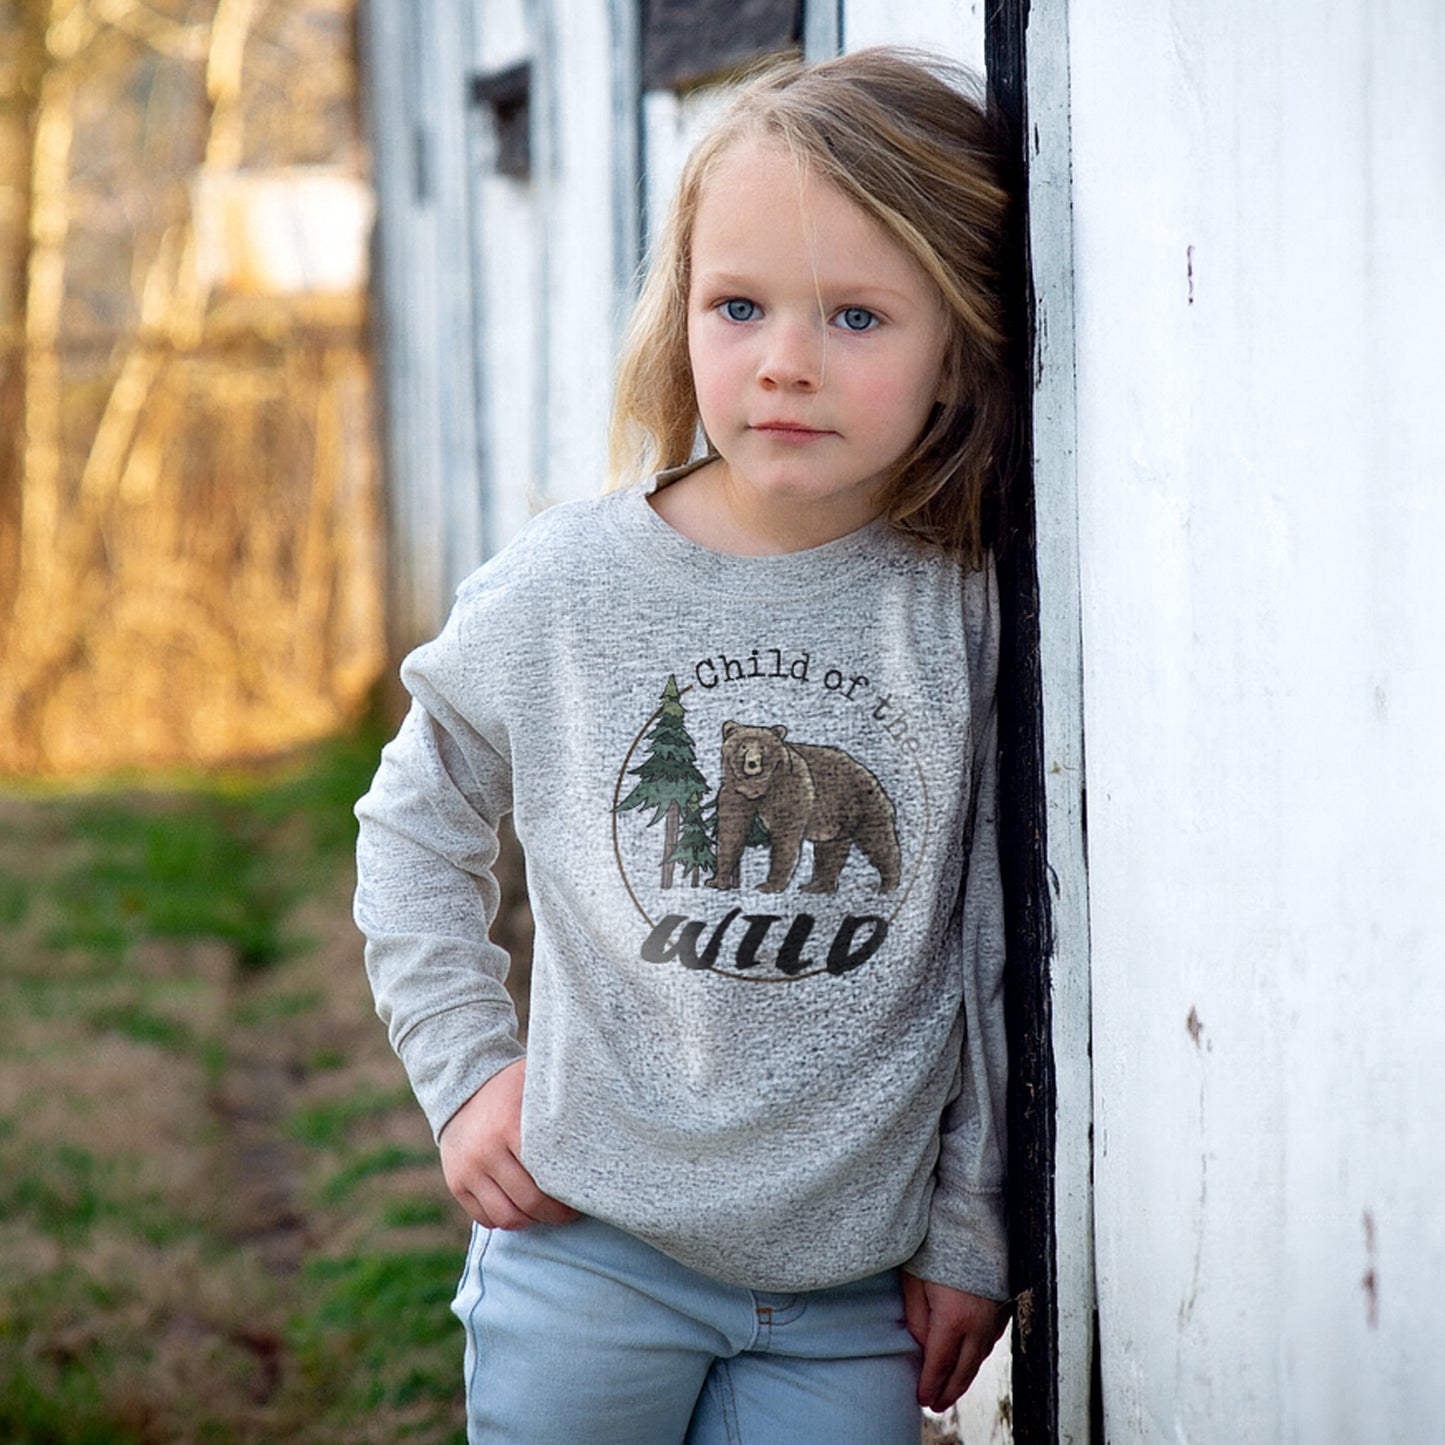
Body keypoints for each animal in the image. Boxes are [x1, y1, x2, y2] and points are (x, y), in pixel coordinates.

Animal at [704, 721, 901, 894]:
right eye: (743, 746)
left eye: (763, 748)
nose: (752, 763)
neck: (758, 788)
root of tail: (870, 774)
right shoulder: (735, 793)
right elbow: (731, 832)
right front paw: (716, 881)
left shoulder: (790, 788)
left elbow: (785, 836)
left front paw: (769, 885)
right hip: (835, 817)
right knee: (830, 851)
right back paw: (817, 886)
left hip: (863, 804)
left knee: (877, 840)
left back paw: (886, 884)